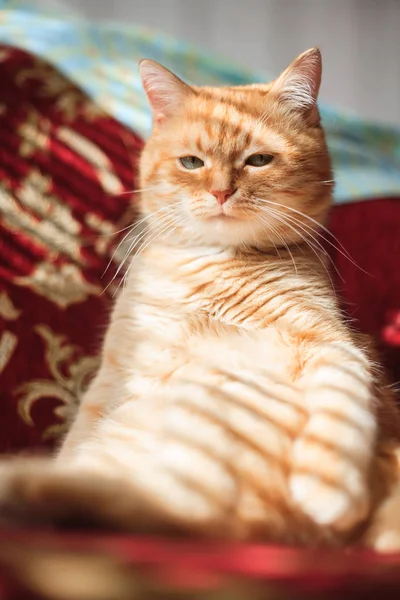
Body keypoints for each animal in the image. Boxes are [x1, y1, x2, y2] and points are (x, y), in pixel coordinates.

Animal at [2, 49, 400, 552]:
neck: (212, 267)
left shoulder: (334, 344)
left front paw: (330, 489)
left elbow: (342, 406)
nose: (221, 192)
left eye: (259, 160)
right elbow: (76, 437)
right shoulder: (114, 375)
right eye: (192, 162)